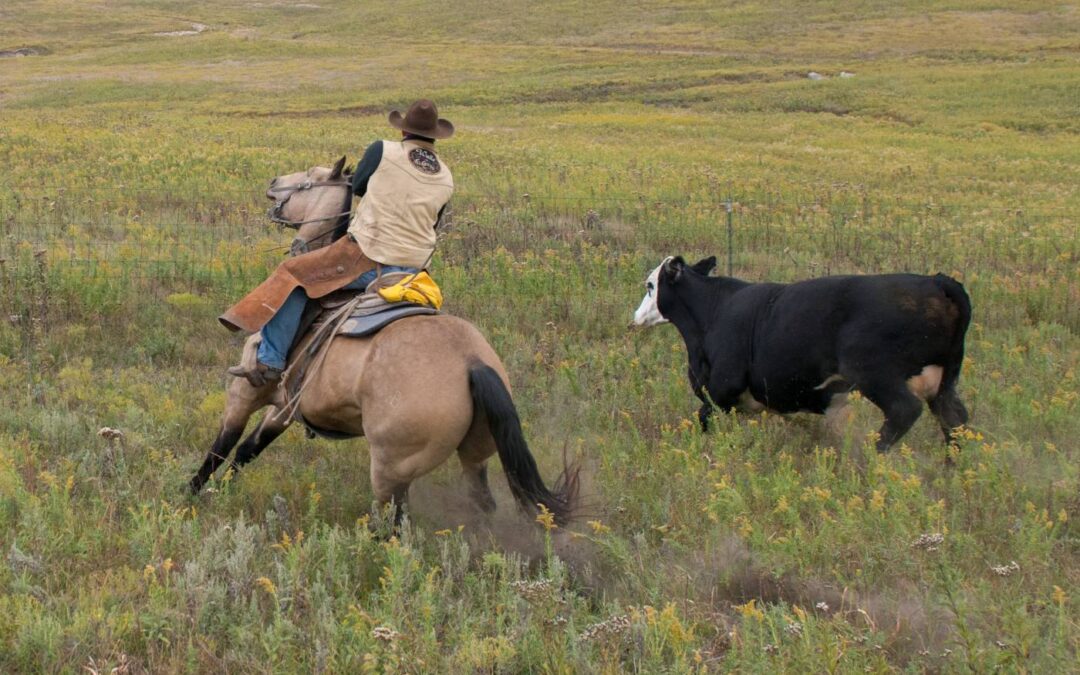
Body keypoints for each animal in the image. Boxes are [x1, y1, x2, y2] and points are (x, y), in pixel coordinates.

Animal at [190, 155, 578, 524]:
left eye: (311, 177)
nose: (274, 183)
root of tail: (474, 365)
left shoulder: (246, 393)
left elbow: (221, 446)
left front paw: (190, 495)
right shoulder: (285, 407)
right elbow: (248, 449)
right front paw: (220, 491)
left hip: (392, 467)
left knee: (395, 524)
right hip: (476, 455)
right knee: (480, 504)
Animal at [630, 254, 972, 449]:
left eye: (650, 285)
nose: (635, 317)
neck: (713, 311)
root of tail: (937, 282)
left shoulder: (721, 392)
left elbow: (703, 422)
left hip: (875, 375)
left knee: (904, 411)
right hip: (942, 383)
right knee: (955, 419)